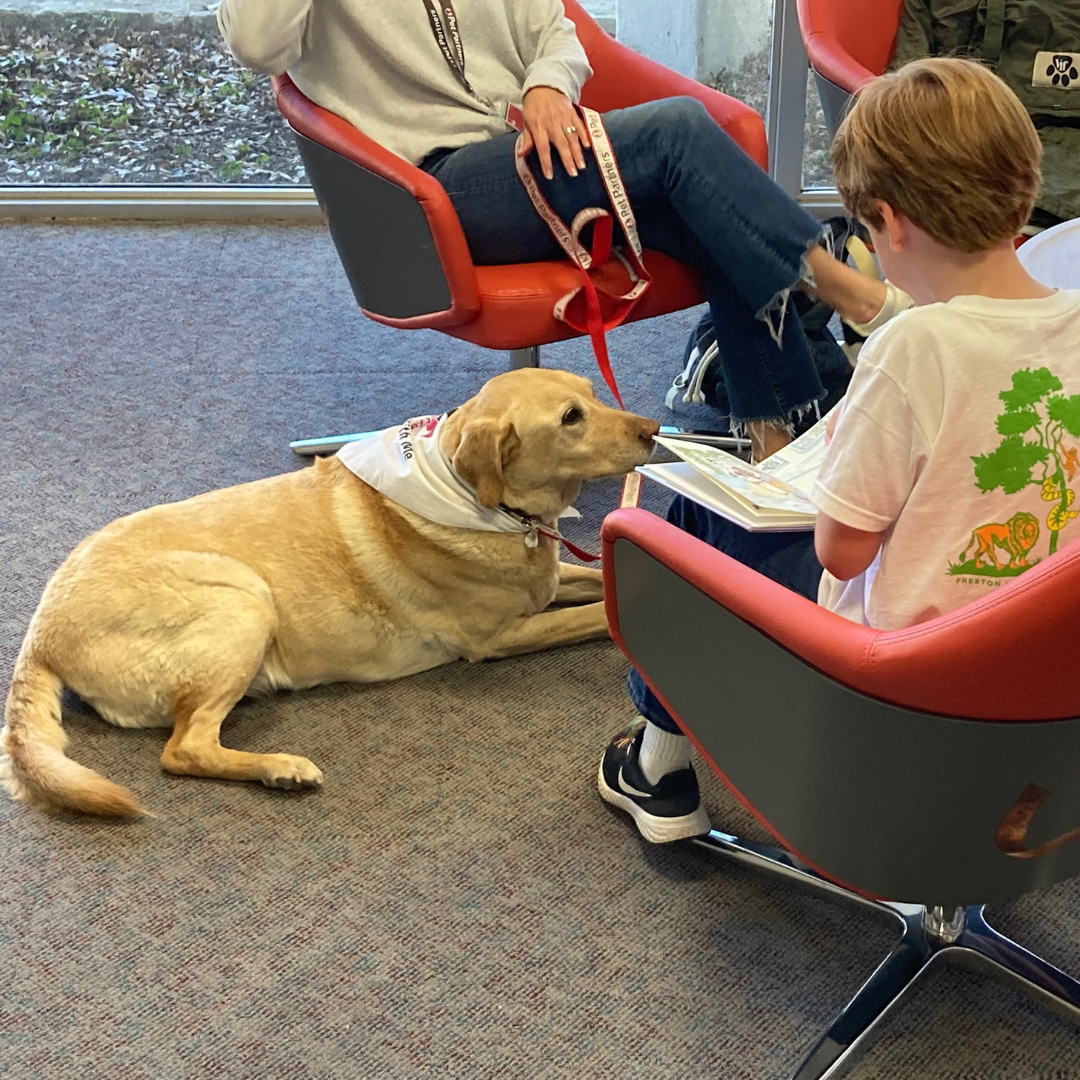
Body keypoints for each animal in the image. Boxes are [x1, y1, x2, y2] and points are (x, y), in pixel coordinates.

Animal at [2, 367, 656, 812]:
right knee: (183, 750)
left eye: (593, 393)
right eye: (571, 418)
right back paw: (280, 769)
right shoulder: (499, 637)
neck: (483, 501)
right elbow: (603, 614)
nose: (652, 430)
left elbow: (599, 583)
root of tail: (39, 637)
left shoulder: (549, 582)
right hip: (243, 600)